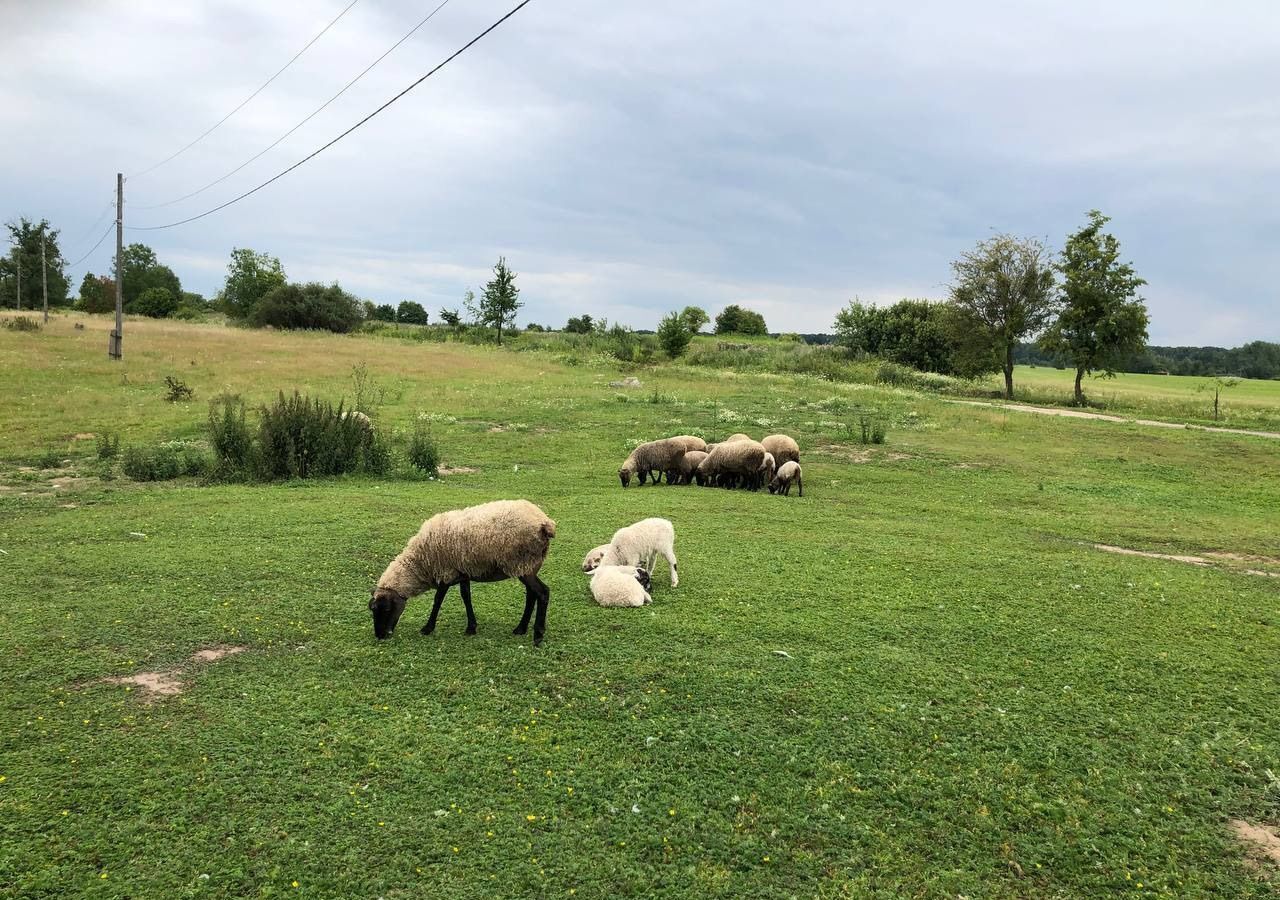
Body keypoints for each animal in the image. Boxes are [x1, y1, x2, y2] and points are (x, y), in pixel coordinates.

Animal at [366, 499, 555, 647]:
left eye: (386, 609)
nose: (380, 636)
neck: (420, 563)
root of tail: (545, 523)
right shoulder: (462, 571)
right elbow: (466, 597)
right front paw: (471, 627)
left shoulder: (445, 572)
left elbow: (438, 600)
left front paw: (428, 628)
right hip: (528, 565)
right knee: (531, 594)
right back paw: (520, 629)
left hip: (522, 563)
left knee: (542, 592)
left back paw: (538, 635)